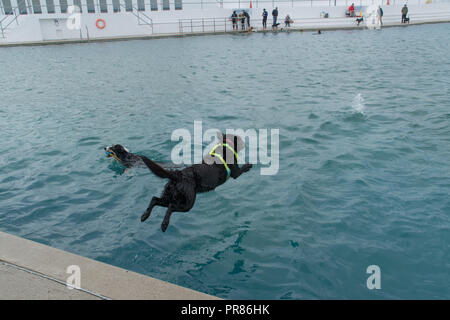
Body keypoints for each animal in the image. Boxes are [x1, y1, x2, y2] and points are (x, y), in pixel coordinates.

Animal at [106, 134, 253, 231]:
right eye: (240, 140)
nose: (245, 143)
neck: (225, 146)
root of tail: (178, 174)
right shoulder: (235, 173)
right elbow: (242, 169)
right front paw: (249, 165)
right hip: (188, 202)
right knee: (171, 207)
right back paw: (164, 224)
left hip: (170, 194)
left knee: (155, 199)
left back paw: (145, 216)